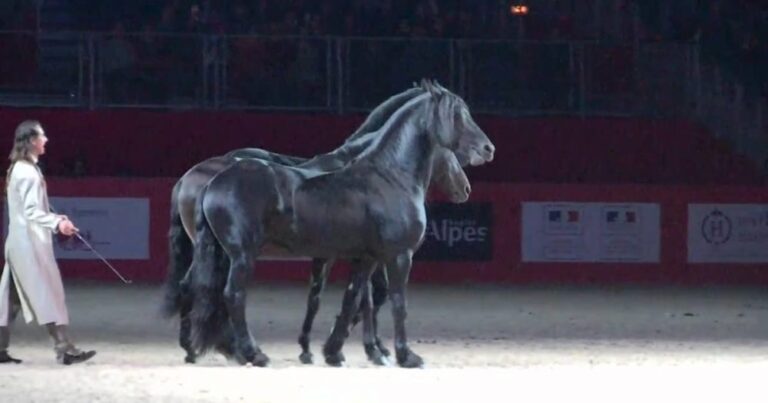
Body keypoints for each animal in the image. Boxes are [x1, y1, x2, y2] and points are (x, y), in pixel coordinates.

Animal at [188, 81, 496, 370]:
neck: (390, 177)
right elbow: (397, 303)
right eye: (457, 115)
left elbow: (352, 299)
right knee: (233, 295)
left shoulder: (365, 258)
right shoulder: (399, 256)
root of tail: (214, 182)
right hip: (243, 255)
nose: (488, 149)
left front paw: (334, 352)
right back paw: (254, 354)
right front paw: (406, 356)